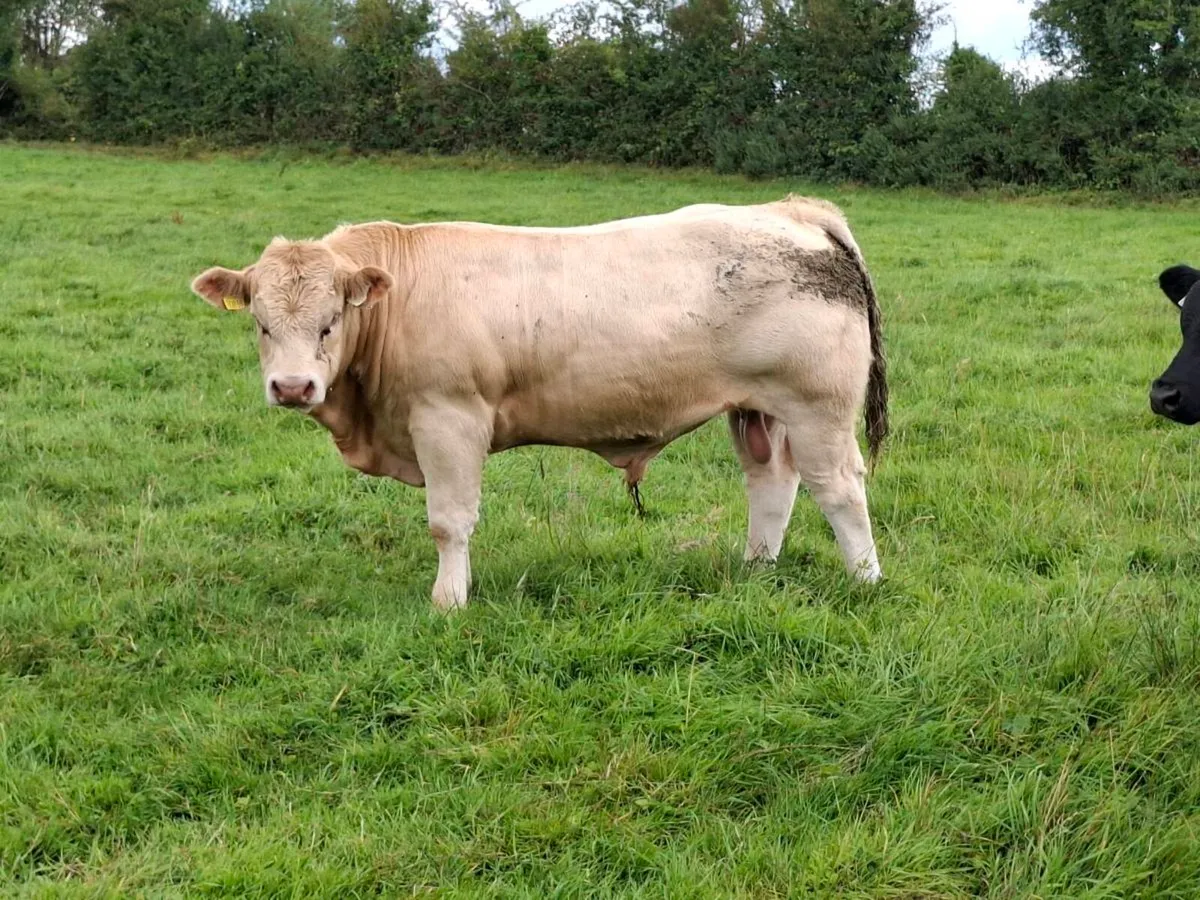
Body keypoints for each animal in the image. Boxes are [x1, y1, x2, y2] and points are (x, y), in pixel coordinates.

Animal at [189, 196, 889, 610]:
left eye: (330, 321)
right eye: (261, 324)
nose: (292, 387)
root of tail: (792, 210)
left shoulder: (448, 419)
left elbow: (449, 521)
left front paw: (449, 600)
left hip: (817, 405)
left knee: (839, 488)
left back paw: (866, 580)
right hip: (757, 407)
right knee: (772, 483)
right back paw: (756, 569)